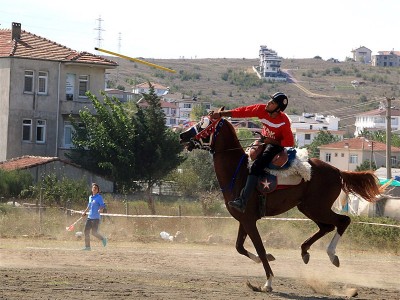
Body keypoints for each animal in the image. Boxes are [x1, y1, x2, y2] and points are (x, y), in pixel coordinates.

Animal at [179, 115, 384, 292]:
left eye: (204, 123)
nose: (182, 135)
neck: (238, 173)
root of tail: (337, 171)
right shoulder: (243, 220)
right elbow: (240, 247)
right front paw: (267, 260)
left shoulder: (249, 220)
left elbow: (260, 249)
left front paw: (268, 282)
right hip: (308, 208)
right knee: (327, 226)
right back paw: (305, 251)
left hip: (317, 208)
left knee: (342, 221)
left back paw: (331, 254)